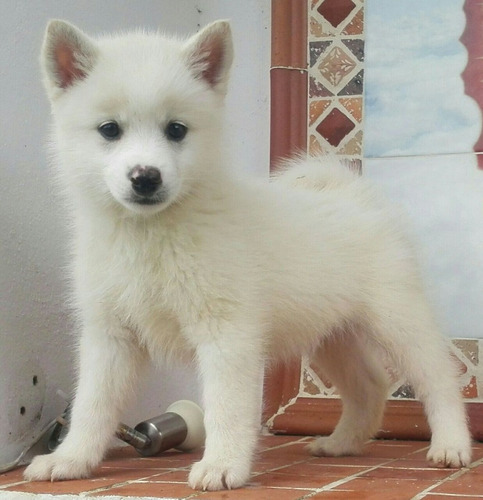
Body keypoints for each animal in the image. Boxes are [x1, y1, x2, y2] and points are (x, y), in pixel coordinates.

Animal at [23, 20, 472, 492]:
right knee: (371, 384)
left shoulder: (227, 333)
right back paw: (341, 444)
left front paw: (223, 465)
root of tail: (355, 196)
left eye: (176, 130)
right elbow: (91, 406)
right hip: (332, 335)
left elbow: (226, 407)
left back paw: (451, 446)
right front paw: (71, 460)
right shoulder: (110, 335)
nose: (146, 178)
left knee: (439, 380)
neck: (152, 234)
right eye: (109, 129)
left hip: (398, 320)